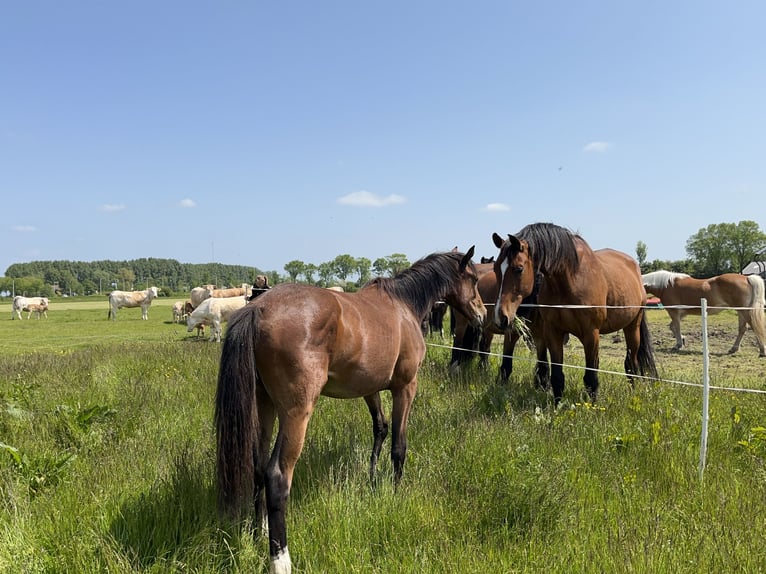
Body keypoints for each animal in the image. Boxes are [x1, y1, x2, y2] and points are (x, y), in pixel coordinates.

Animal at [214, 249, 486, 574]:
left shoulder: (370, 388)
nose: (483, 315)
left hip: (264, 406)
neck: (402, 304)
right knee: (277, 476)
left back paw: (260, 533)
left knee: (257, 467)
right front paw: (396, 493)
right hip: (296, 413)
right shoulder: (405, 387)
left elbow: (380, 428)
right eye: (473, 279)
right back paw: (280, 560)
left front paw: (372, 480)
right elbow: (399, 446)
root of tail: (259, 309)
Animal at [496, 225, 656, 404]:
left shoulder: (591, 334)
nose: (502, 316)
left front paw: (592, 406)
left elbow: (591, 378)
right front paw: (557, 406)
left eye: (518, 269)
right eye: (496, 269)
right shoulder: (553, 332)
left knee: (631, 364)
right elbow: (557, 376)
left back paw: (633, 394)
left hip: (632, 327)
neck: (569, 281)